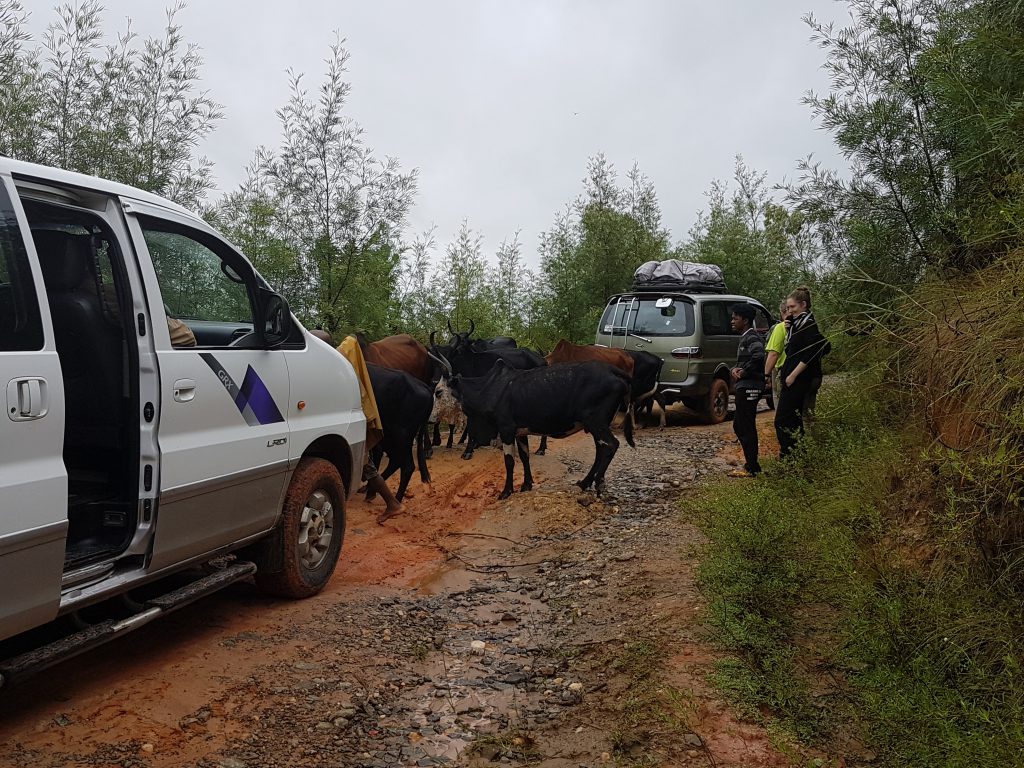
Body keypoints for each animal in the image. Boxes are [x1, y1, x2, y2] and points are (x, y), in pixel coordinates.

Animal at [368, 364, 432, 501]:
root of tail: (425, 387)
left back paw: (396, 499)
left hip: (401, 434)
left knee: (407, 466)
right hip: (390, 434)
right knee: (395, 459)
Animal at [446, 360, 634, 499]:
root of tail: (613, 370)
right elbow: (524, 456)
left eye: (441, 391)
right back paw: (584, 482)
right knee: (601, 450)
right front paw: (526, 485)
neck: (490, 388)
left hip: (597, 422)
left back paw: (599, 485)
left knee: (611, 445)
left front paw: (506, 492)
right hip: (595, 426)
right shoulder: (520, 432)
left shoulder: (506, 429)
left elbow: (509, 461)